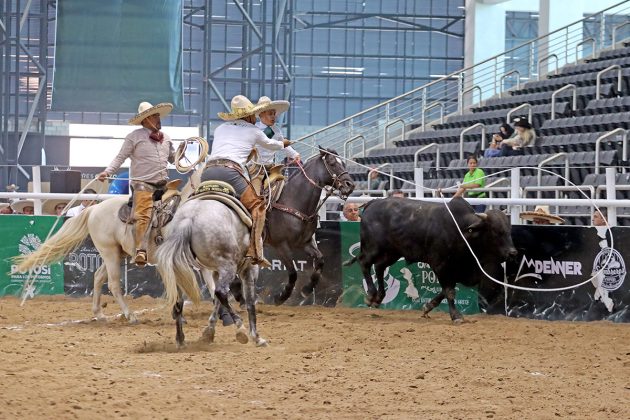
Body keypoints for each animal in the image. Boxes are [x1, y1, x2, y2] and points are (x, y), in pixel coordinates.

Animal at [346, 197, 520, 322]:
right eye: (496, 231)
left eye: (509, 230)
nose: (513, 253)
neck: (461, 230)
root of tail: (373, 203)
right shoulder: (440, 264)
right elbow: (449, 291)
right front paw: (455, 316)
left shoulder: (455, 270)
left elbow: (446, 290)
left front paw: (427, 307)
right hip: (373, 248)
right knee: (365, 263)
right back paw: (371, 295)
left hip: (392, 253)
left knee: (379, 268)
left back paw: (378, 298)